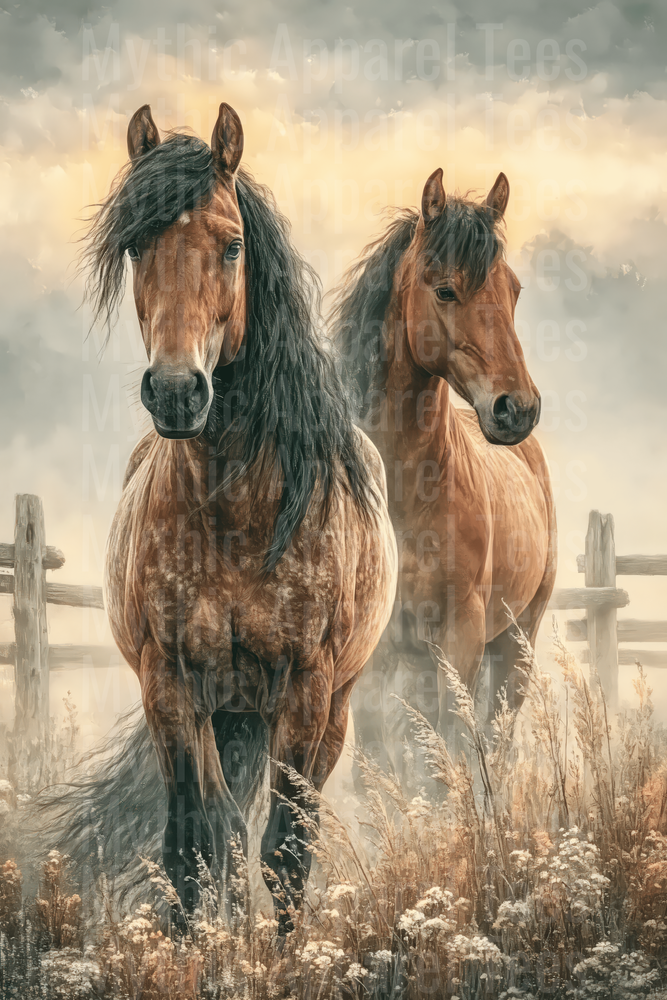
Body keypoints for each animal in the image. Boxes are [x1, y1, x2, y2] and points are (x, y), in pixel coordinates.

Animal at [81, 101, 397, 931]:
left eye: (230, 245)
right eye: (137, 244)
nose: (176, 391)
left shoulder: (305, 688)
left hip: (326, 709)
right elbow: (198, 847)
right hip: (220, 711)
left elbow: (283, 851)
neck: (236, 516)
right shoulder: (171, 684)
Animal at [332, 168, 556, 786]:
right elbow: (377, 765)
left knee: (494, 744)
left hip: (515, 643)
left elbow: (448, 756)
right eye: (446, 290)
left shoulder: (461, 636)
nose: (516, 408)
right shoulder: (377, 653)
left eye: (513, 290)